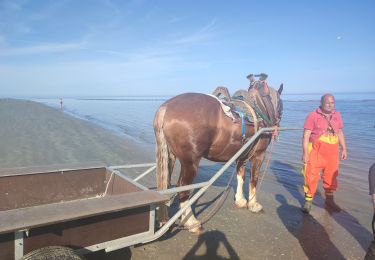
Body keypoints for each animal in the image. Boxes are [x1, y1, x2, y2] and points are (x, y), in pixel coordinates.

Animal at [154, 84, 284, 234]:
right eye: (281, 105)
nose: (278, 122)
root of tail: (166, 107)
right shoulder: (258, 155)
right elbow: (254, 180)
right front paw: (253, 204)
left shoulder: (241, 156)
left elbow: (241, 177)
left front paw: (240, 200)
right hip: (190, 163)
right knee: (183, 188)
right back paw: (191, 222)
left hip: (171, 157)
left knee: (167, 184)